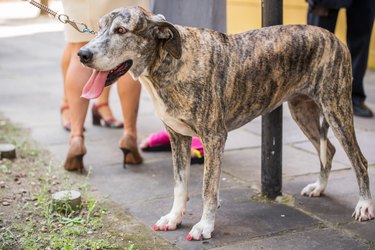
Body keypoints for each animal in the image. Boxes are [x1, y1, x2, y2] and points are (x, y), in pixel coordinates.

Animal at [78, 5, 374, 240]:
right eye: (99, 28)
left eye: (121, 30)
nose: (82, 54)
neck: (170, 62)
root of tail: (335, 38)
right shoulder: (178, 137)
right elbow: (179, 185)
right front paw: (174, 218)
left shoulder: (213, 138)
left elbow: (208, 189)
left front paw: (204, 226)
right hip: (302, 111)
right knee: (329, 150)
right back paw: (320, 187)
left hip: (336, 107)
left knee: (359, 160)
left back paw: (364, 206)